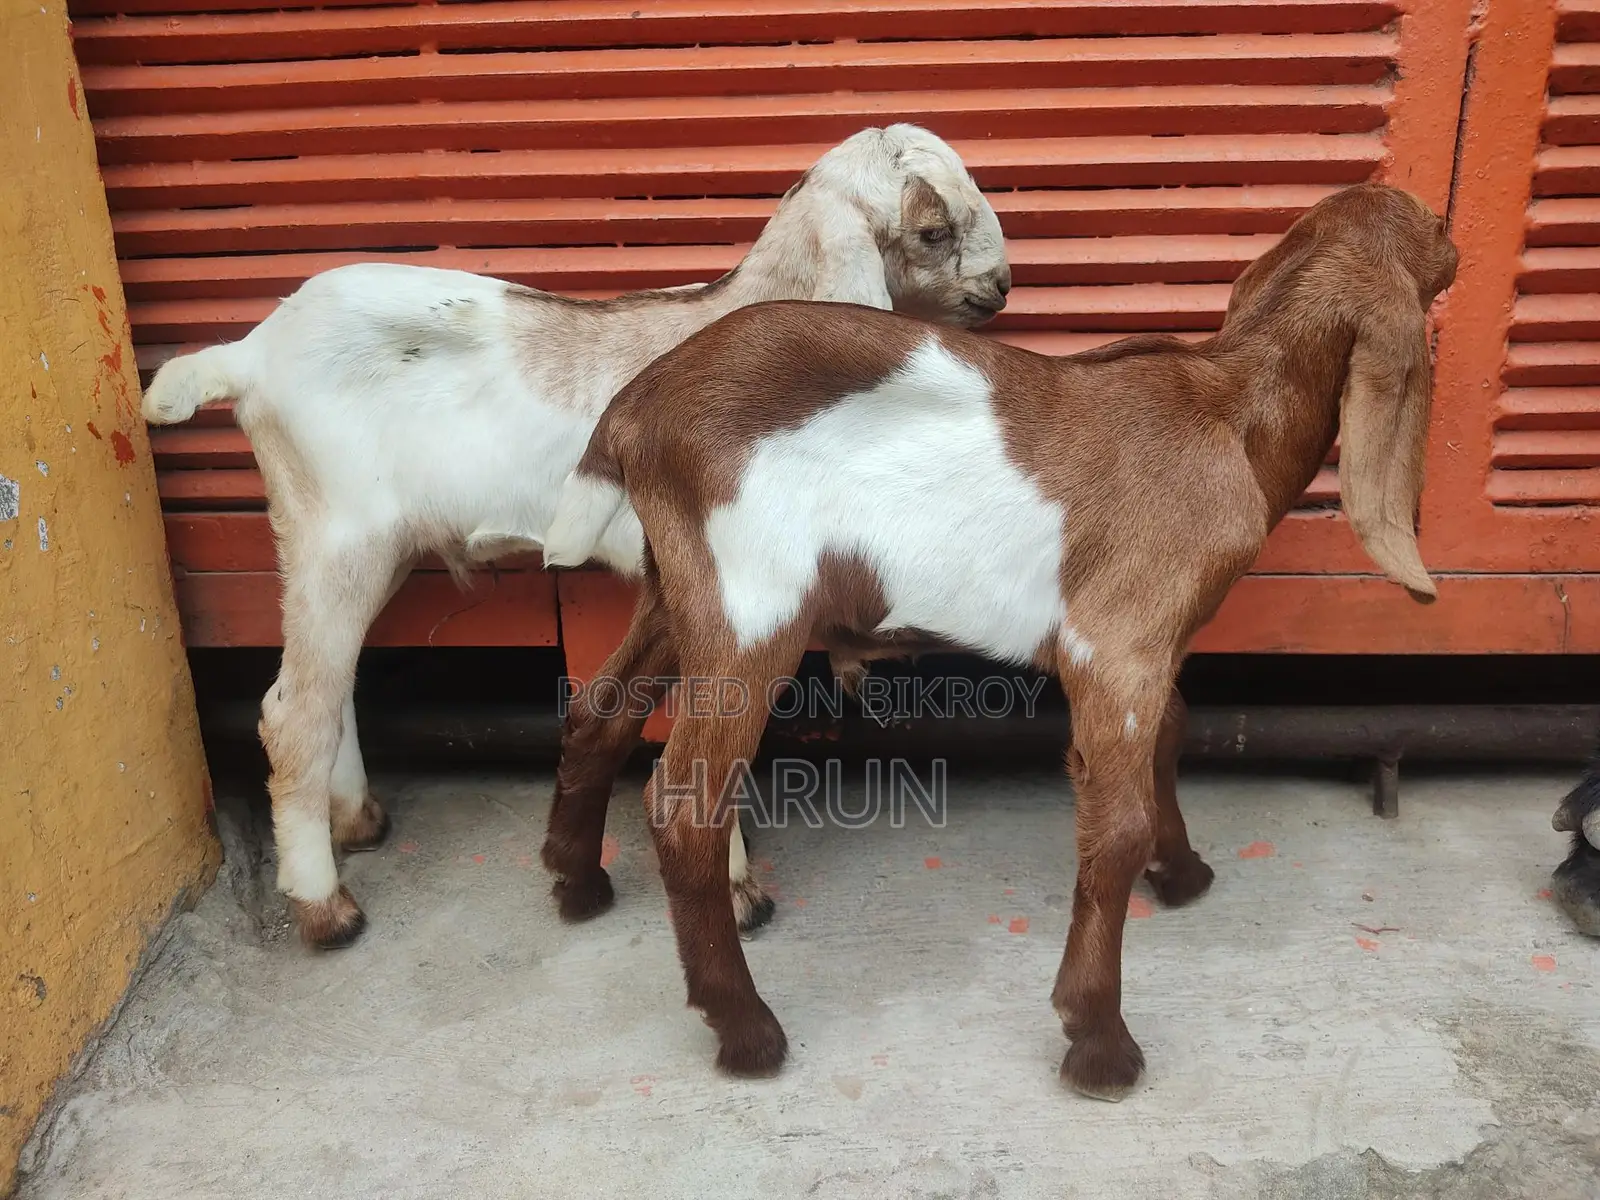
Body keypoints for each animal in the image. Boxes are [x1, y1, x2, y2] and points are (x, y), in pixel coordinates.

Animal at [140, 124, 1012, 950]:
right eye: (932, 230)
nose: (1001, 287)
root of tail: (248, 356)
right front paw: (736, 890)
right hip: (336, 534)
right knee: (293, 711)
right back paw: (326, 908)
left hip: (365, 548)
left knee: (332, 682)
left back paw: (355, 818)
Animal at [540, 183, 1458, 1096]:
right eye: (1433, 228)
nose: (1456, 245)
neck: (1230, 411)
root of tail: (633, 409)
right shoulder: (1118, 644)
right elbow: (1114, 828)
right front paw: (1100, 1043)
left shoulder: (1146, 648)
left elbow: (1171, 733)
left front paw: (1184, 874)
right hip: (750, 605)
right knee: (686, 805)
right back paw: (747, 1032)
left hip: (677, 593)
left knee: (599, 713)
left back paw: (576, 884)